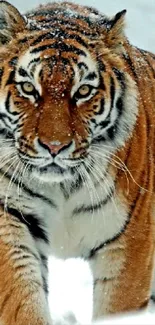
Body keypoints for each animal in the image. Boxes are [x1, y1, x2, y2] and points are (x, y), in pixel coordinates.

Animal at [0, 0, 154, 322]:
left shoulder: (131, 241)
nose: (54, 146)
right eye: (29, 88)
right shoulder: (10, 217)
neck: (63, 187)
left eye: (83, 91)